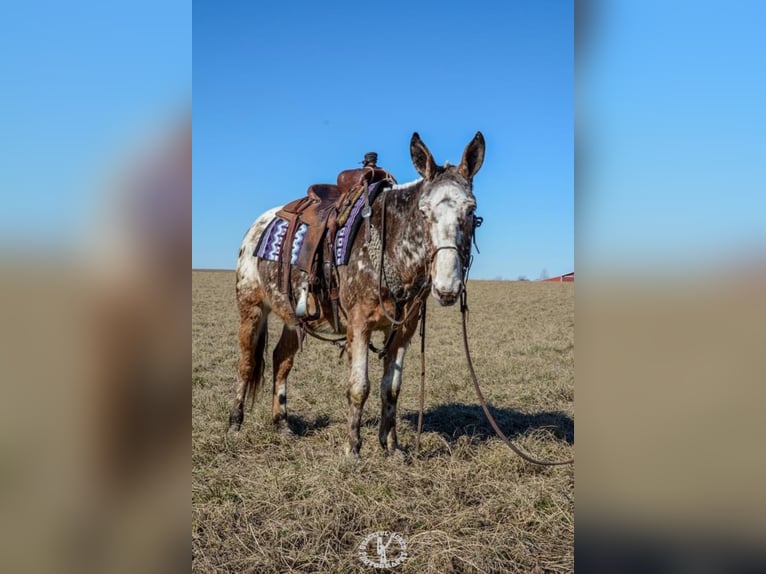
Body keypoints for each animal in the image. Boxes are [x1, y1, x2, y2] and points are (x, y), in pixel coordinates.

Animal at [228, 133, 488, 462]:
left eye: (470, 210)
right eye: (424, 211)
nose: (447, 286)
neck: (392, 250)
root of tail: (258, 225)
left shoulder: (403, 330)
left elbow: (391, 389)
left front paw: (391, 446)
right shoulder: (360, 323)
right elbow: (359, 387)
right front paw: (353, 448)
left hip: (292, 317)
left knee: (281, 359)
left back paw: (282, 423)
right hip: (251, 306)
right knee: (247, 362)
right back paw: (235, 423)